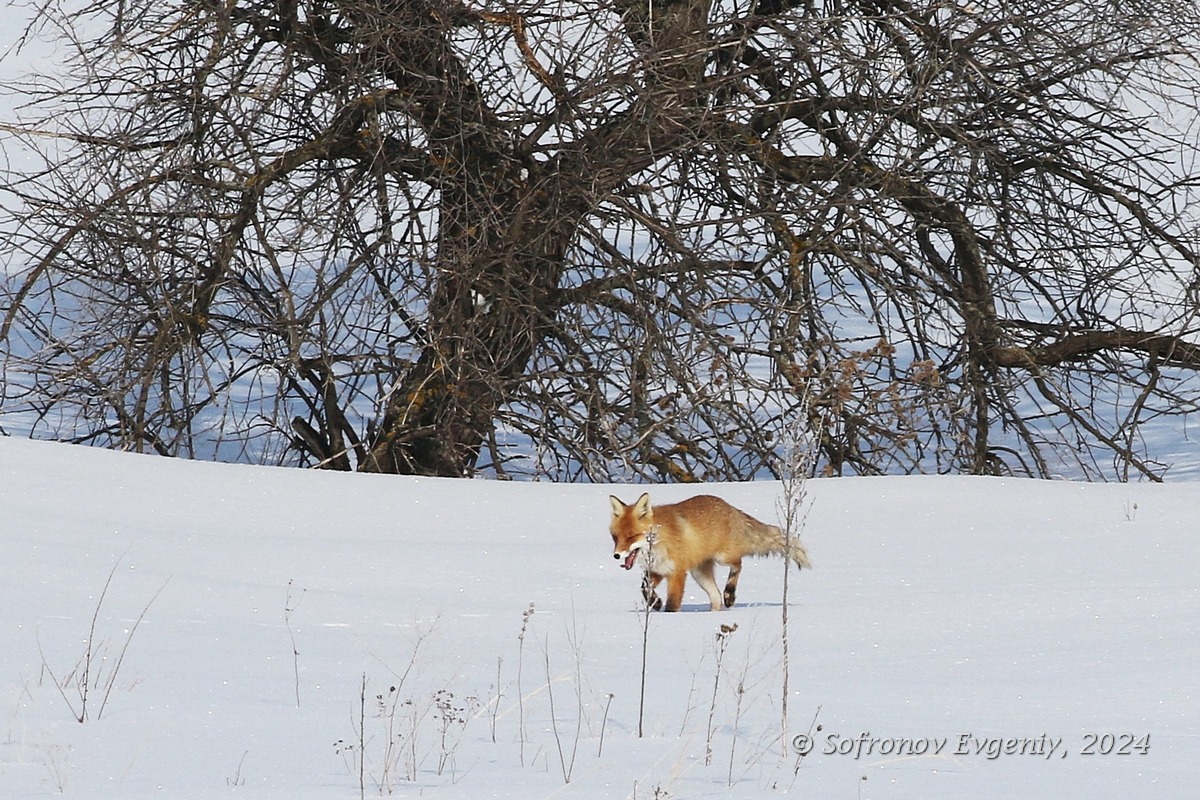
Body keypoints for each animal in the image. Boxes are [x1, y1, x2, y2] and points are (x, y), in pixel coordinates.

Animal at [604, 491, 811, 609]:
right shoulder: (657, 571)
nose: (616, 555)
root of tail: (732, 508)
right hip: (700, 574)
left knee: (738, 565)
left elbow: (673, 603)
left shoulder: (677, 573)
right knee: (716, 597)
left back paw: (730, 594)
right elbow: (644, 588)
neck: (660, 542)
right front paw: (655, 603)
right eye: (615, 537)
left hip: (722, 558)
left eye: (631, 537)